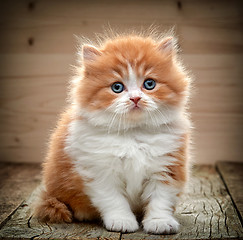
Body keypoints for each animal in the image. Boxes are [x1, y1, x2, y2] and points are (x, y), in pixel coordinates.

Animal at [32, 30, 192, 234]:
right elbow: (114, 200)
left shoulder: (167, 167)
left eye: (149, 84)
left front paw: (160, 222)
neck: (133, 134)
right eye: (117, 87)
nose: (135, 98)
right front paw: (122, 221)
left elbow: (160, 199)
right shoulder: (100, 171)